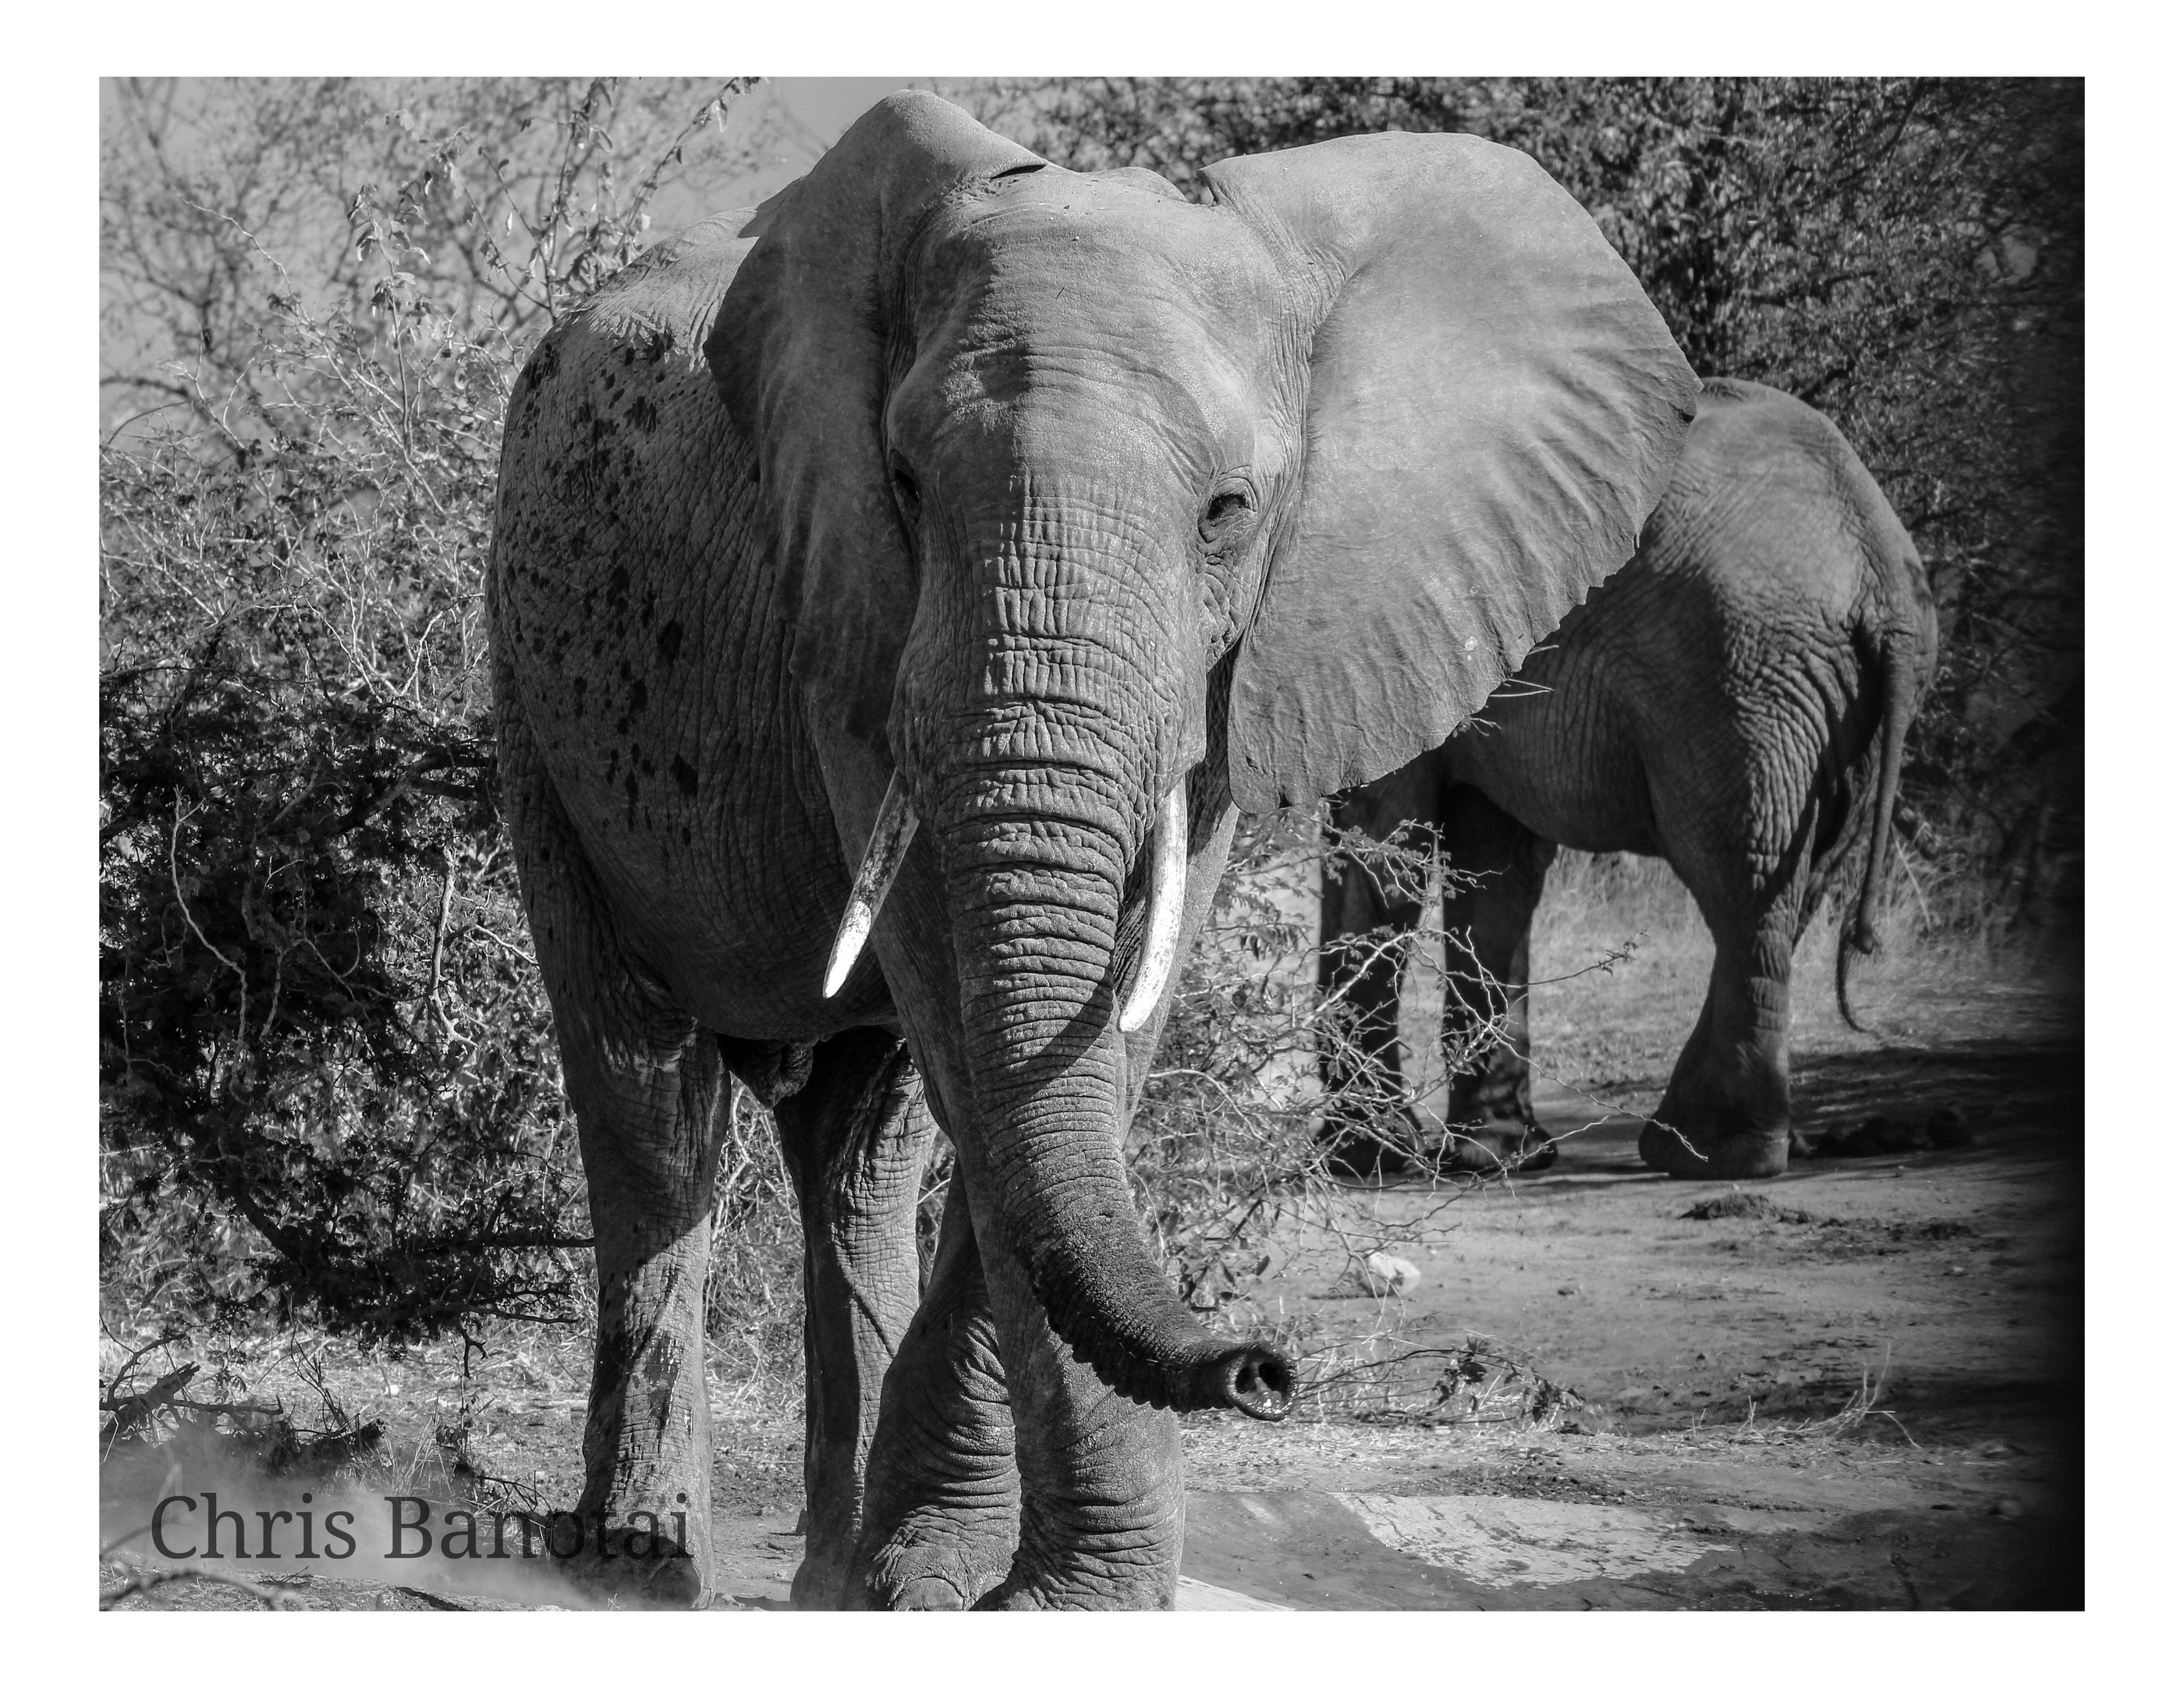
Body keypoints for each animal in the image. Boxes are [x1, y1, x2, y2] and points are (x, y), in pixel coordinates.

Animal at [486, 91, 1697, 1608]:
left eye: (1229, 512)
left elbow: (1101, 1032)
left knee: (862, 1147)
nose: (1261, 1366)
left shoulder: (1246, 650)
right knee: (647, 1102)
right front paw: (977, 1584)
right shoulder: (852, 616)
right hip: (531, 687)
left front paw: (974, 1585)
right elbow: (964, 996)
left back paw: (825, 1570)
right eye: (901, 482)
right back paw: (639, 1564)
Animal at [1315, 378, 1937, 1184]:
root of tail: (1881, 568)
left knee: (1744, 885)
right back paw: (1698, 1146)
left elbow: (1380, 847)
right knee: (1791, 886)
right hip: (1823, 707)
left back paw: (1716, 1157)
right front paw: (1498, 1158)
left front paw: (1363, 1163)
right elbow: (1493, 866)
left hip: (1736, 676)